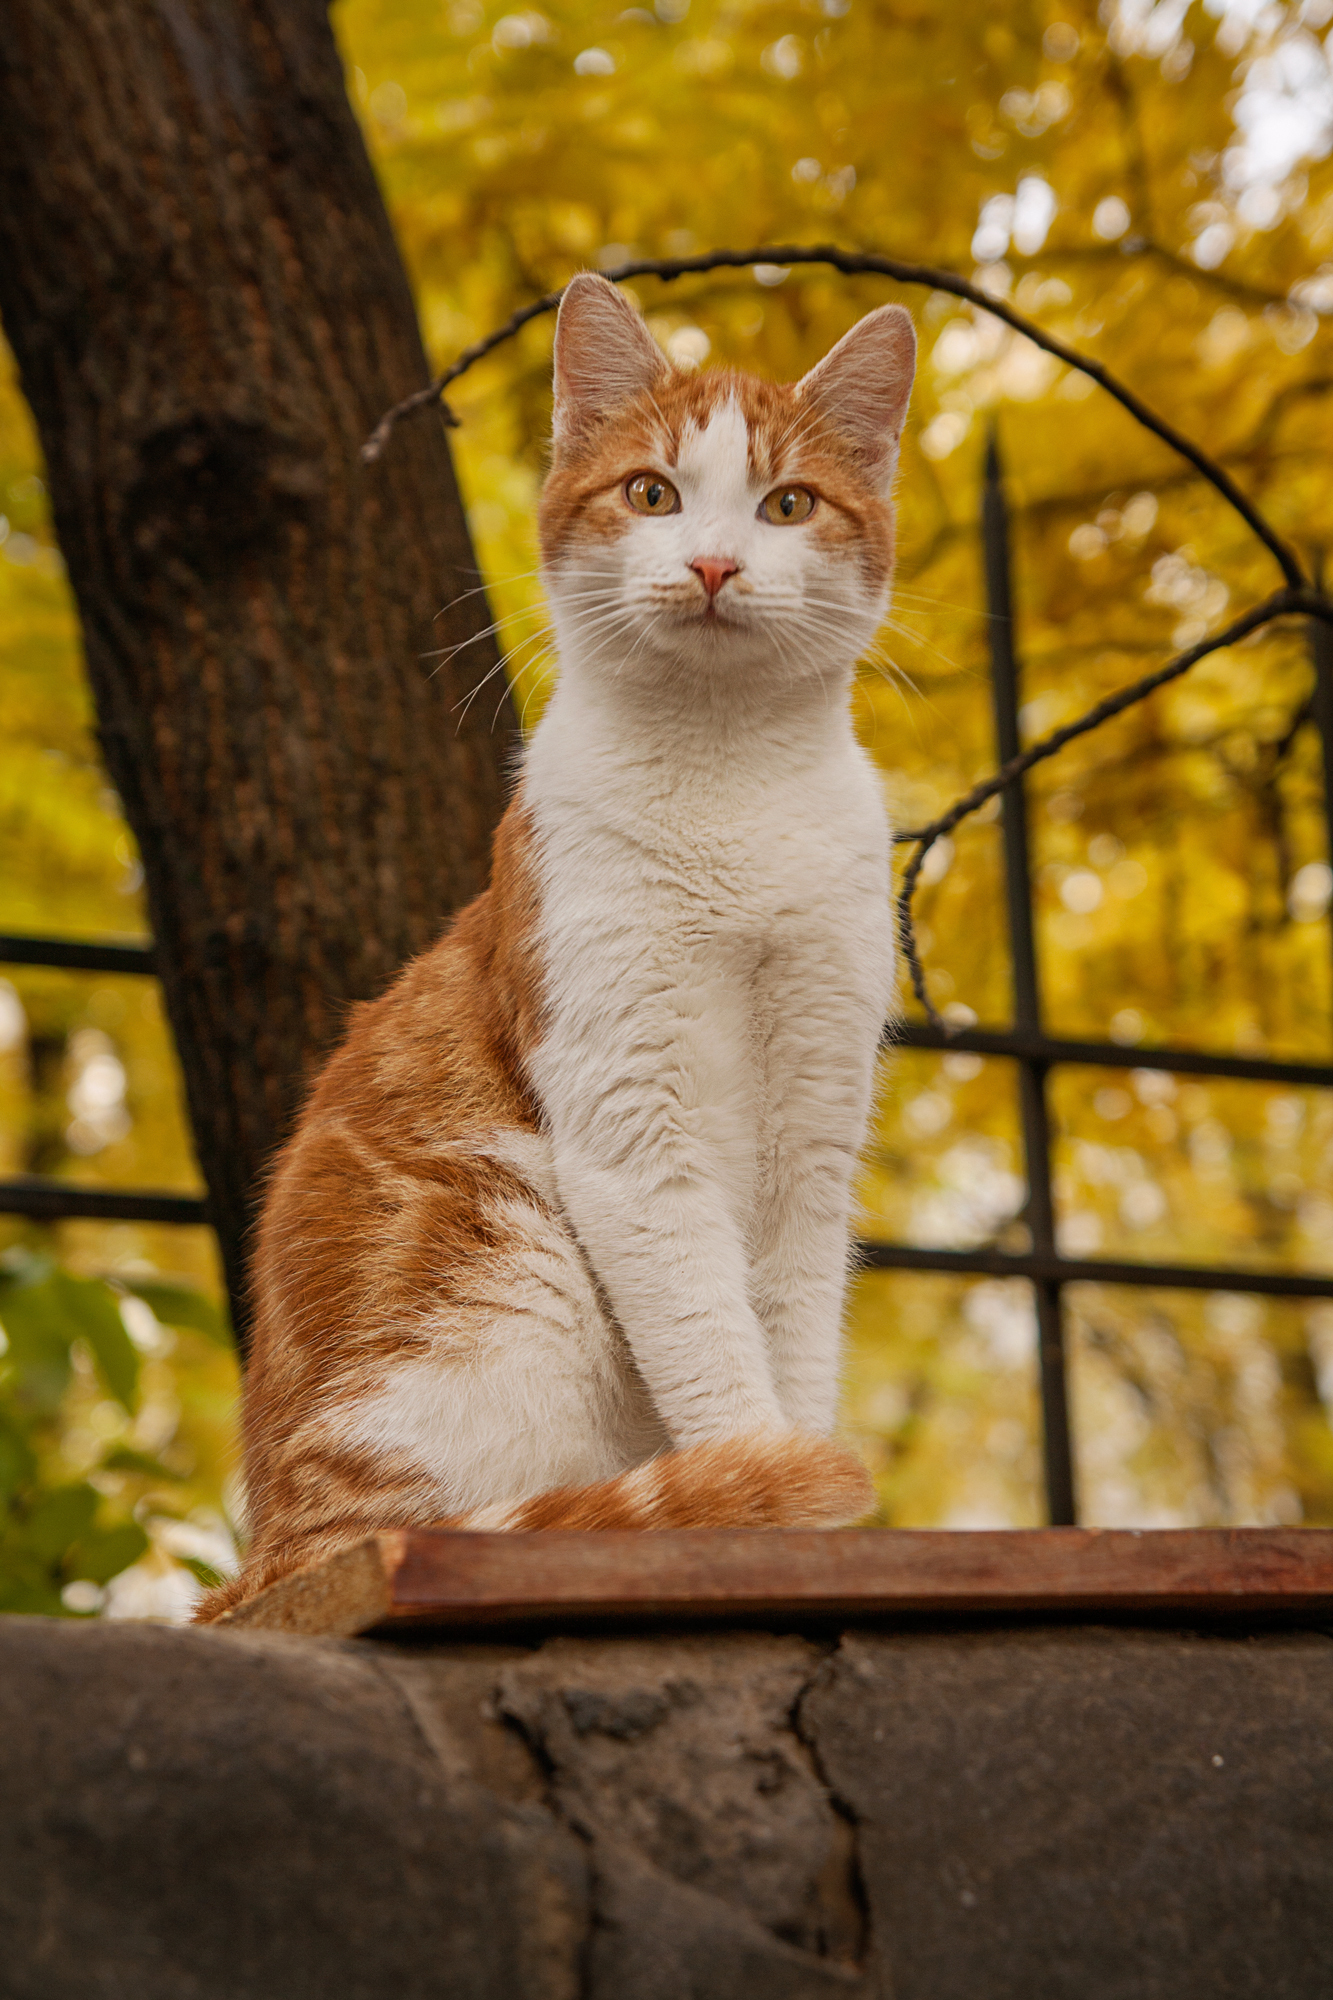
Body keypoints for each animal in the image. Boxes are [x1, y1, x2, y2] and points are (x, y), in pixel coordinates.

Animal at [200, 274, 912, 1616]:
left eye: (789, 503)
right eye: (651, 492)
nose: (713, 561)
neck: (729, 785)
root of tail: (275, 1550)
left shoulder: (812, 1129)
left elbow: (792, 1334)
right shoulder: (631, 1119)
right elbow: (714, 1348)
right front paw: (768, 1497)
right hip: (509, 1255)